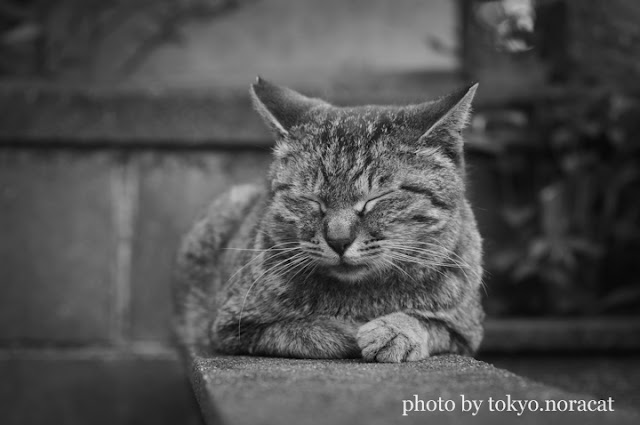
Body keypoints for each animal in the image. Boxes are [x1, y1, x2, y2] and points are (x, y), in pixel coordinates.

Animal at [171, 77, 484, 362]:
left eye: (376, 198)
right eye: (312, 199)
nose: (339, 240)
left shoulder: (465, 332)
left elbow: (427, 322)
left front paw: (396, 330)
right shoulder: (233, 326)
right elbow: (307, 330)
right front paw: (348, 330)